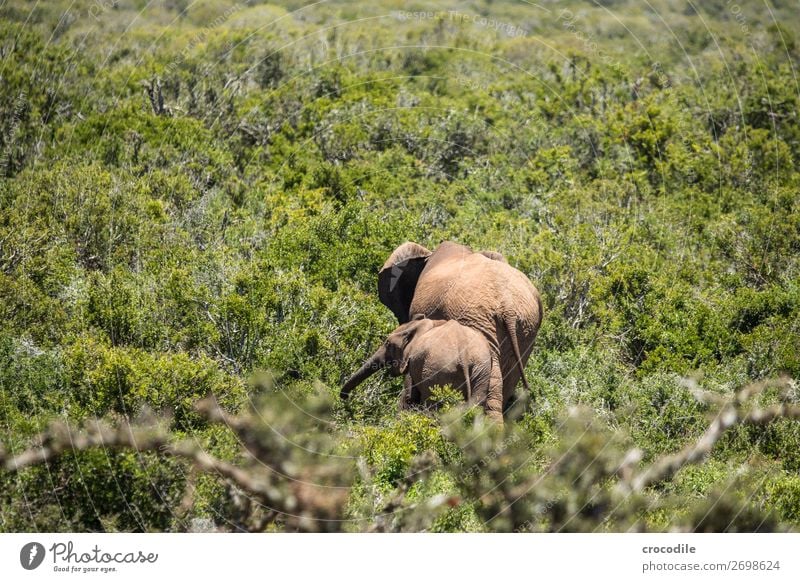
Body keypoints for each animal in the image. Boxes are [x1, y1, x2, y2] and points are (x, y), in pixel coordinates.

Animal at [340, 318, 504, 422]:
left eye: (388, 344)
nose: (344, 397)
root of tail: (464, 353)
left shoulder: (412, 361)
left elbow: (408, 397)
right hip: (481, 368)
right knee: (477, 403)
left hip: (439, 371)